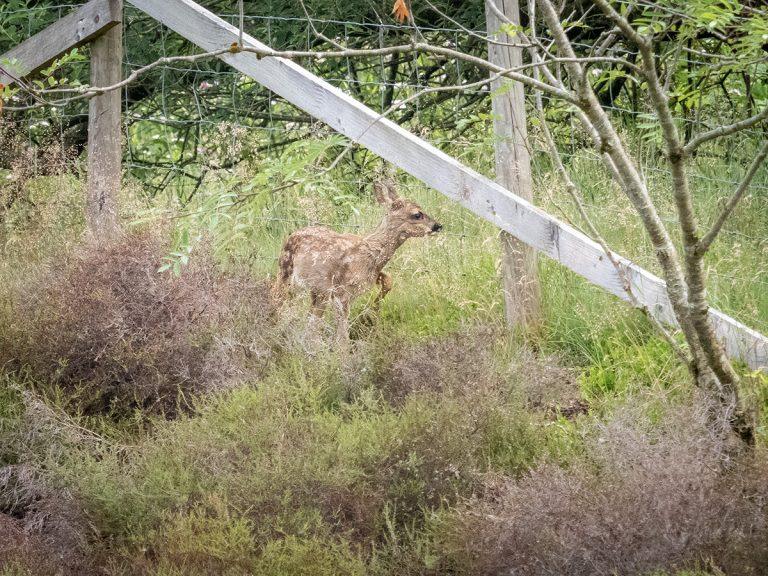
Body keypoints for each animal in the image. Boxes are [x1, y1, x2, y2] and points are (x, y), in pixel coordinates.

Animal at [272, 176, 442, 344]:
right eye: (417, 214)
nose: (438, 225)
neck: (370, 250)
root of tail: (292, 235)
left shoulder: (367, 279)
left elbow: (388, 280)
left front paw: (373, 310)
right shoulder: (341, 291)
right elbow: (343, 336)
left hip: (318, 291)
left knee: (311, 322)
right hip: (286, 271)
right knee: (278, 300)